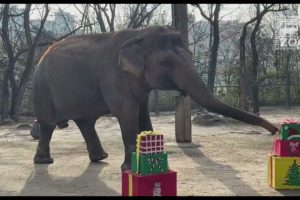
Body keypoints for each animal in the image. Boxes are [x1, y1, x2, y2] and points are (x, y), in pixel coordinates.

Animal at [31, 25, 278, 170]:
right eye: (166, 62)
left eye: (190, 55)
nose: (275, 129)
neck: (137, 35)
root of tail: (41, 57)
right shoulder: (113, 77)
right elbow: (127, 114)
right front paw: (130, 169)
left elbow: (143, 113)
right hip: (42, 89)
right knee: (48, 124)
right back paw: (45, 161)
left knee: (85, 122)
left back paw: (100, 158)